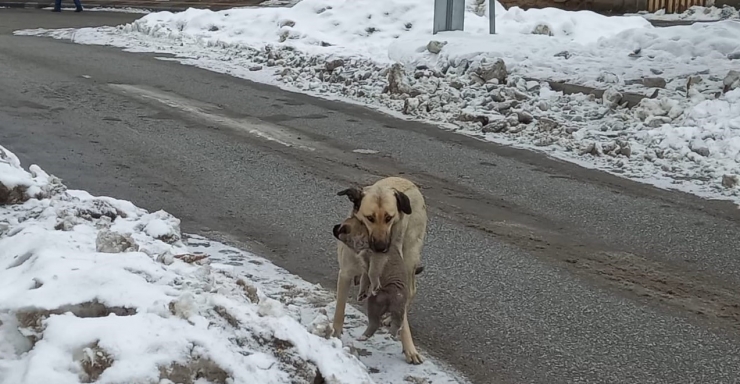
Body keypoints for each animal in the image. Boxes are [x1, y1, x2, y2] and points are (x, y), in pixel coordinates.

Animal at [330, 176, 428, 364]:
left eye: (389, 217)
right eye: (370, 218)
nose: (382, 248)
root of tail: (405, 180)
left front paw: (409, 348)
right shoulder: (345, 274)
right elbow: (340, 310)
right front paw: (334, 336)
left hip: (410, 254)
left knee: (410, 291)